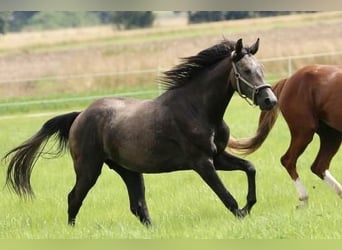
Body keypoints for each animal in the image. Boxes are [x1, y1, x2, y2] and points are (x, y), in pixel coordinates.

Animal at [228, 64, 342, 207]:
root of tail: (288, 80)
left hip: (332, 135)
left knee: (319, 166)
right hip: (304, 131)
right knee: (288, 160)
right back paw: (303, 198)